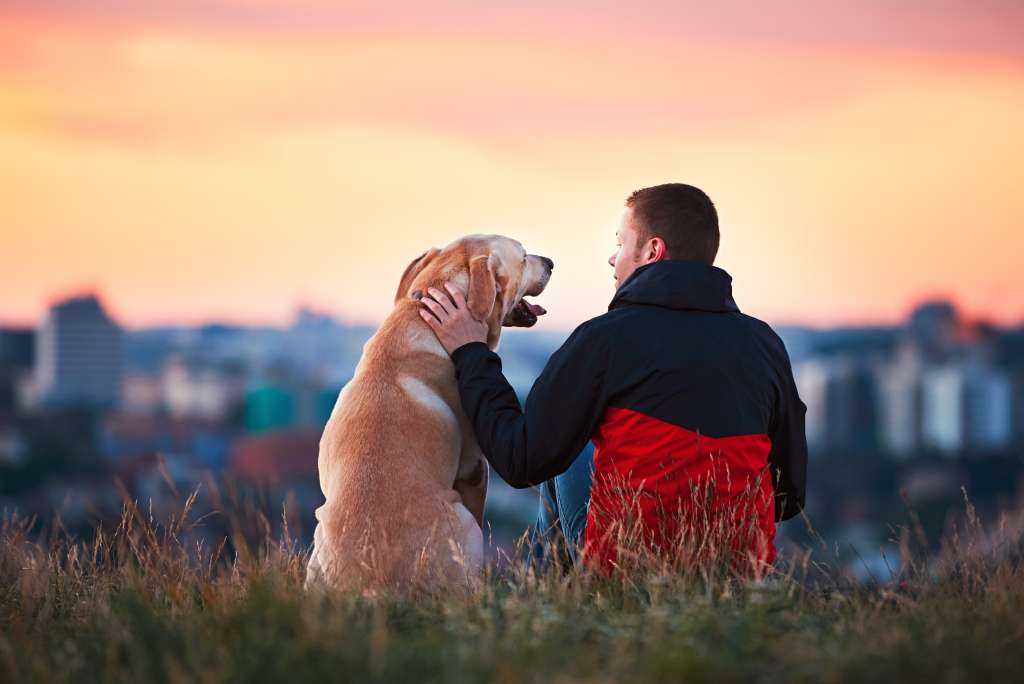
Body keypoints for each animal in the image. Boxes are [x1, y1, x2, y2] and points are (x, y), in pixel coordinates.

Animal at [305, 235, 552, 593]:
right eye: (522, 257)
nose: (551, 262)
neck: (422, 317)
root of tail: (372, 585)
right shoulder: (475, 468)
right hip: (464, 524)